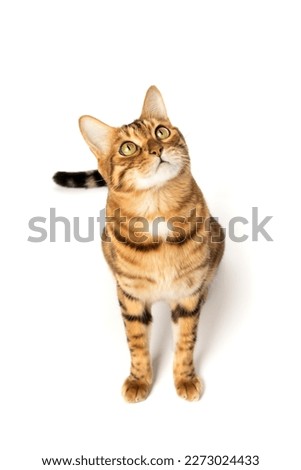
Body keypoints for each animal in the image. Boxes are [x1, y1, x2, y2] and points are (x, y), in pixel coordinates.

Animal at [53, 86, 223, 402]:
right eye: (128, 148)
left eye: (161, 132)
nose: (156, 150)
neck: (157, 210)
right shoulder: (130, 297)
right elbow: (137, 343)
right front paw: (139, 379)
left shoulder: (187, 295)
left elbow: (186, 341)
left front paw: (184, 378)